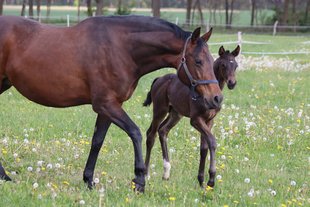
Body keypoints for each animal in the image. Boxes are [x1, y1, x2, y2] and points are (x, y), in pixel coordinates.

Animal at [0, 16, 223, 192]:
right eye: (198, 61)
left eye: (210, 59)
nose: (217, 98)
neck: (120, 48)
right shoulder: (106, 104)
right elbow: (135, 133)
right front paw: (139, 180)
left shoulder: (109, 108)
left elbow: (97, 141)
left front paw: (89, 180)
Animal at [143, 45, 240, 188]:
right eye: (223, 65)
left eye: (236, 65)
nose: (232, 83)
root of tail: (159, 79)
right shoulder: (196, 120)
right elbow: (212, 142)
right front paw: (211, 179)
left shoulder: (209, 120)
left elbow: (204, 148)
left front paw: (201, 180)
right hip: (160, 110)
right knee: (151, 134)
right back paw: (146, 174)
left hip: (175, 114)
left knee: (163, 130)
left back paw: (166, 172)